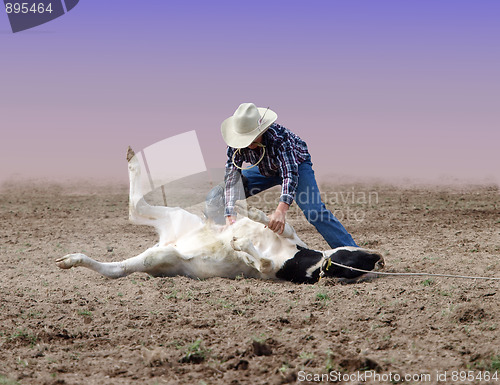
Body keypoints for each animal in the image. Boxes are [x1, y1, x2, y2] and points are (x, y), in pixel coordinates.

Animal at [55, 147, 382, 282]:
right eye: (357, 254)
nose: (377, 255)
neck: (300, 259)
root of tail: (168, 242)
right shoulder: (291, 237)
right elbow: (281, 226)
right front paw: (249, 211)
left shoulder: (267, 271)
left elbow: (261, 261)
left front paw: (239, 242)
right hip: (176, 218)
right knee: (135, 207)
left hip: (159, 258)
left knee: (119, 266)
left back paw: (71, 260)